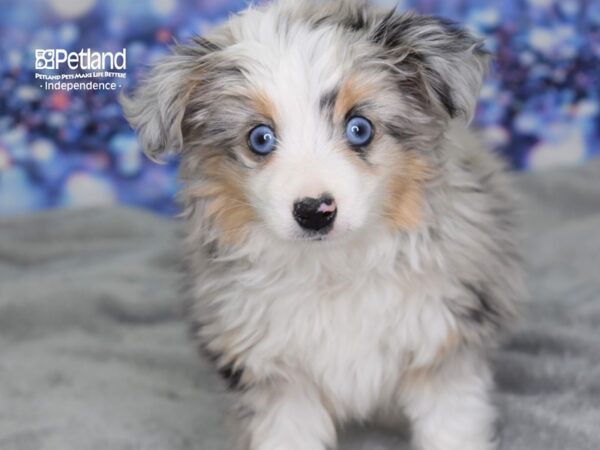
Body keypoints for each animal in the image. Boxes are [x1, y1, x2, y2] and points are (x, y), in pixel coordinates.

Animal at [122, 1, 524, 448]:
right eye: (259, 138)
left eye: (360, 128)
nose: (315, 211)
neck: (333, 269)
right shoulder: (277, 375)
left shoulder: (443, 345)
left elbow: (450, 426)